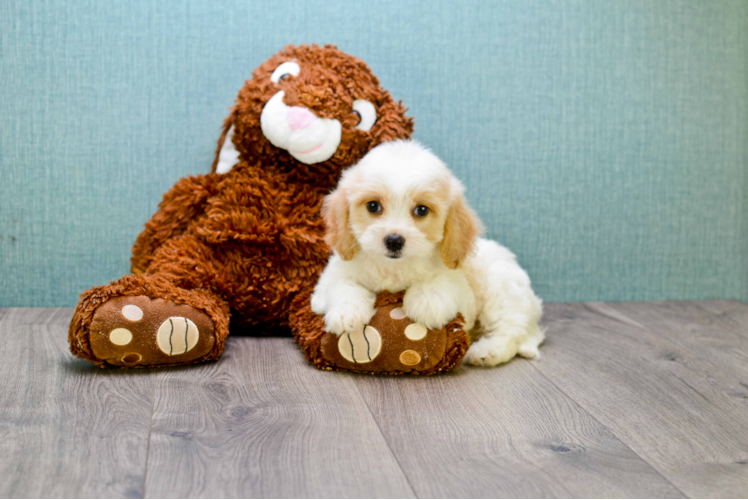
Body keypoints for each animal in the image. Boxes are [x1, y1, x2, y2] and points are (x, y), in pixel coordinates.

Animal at [310, 139, 544, 366]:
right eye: (373, 206)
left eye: (421, 210)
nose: (394, 241)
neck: (393, 267)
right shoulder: (330, 277)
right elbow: (341, 285)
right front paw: (347, 313)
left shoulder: (460, 287)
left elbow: (441, 282)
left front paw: (426, 303)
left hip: (502, 290)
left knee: (510, 331)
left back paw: (486, 352)